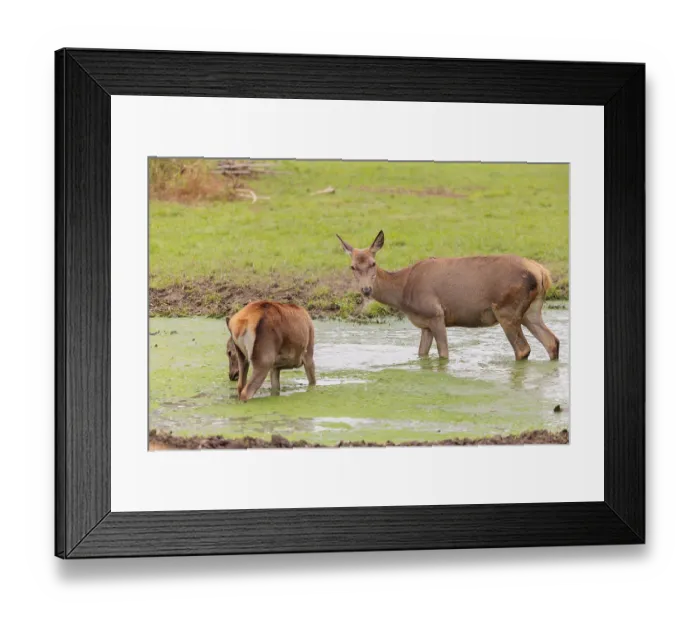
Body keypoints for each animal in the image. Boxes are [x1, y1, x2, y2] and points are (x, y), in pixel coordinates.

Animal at [336, 231, 560, 362]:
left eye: (373, 263)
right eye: (353, 266)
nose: (366, 289)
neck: (403, 293)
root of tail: (542, 272)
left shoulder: (435, 314)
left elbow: (444, 354)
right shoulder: (424, 323)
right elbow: (421, 354)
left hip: (506, 309)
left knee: (523, 349)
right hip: (531, 311)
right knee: (552, 341)